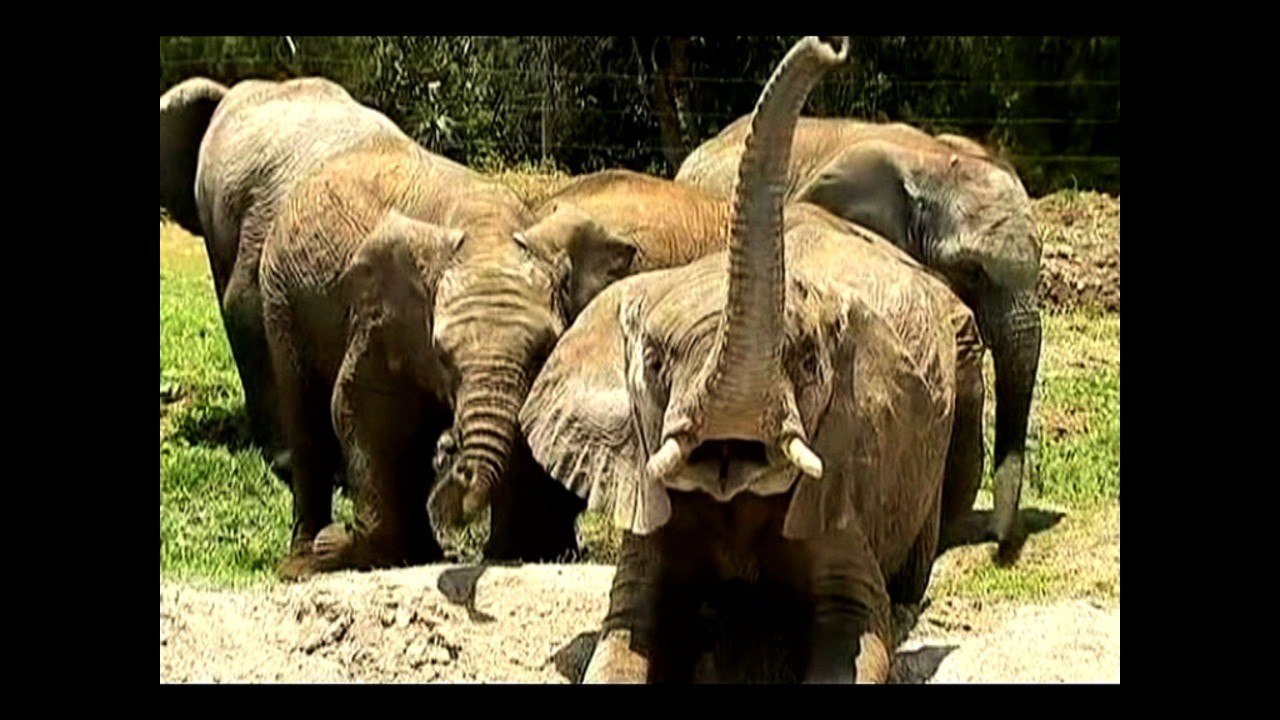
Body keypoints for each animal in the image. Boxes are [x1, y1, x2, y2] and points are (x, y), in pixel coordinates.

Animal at [520, 36, 983, 683]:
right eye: (655, 363)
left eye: (810, 363)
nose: (832, 47)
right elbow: (630, 630)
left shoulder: (841, 479)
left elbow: (856, 630)